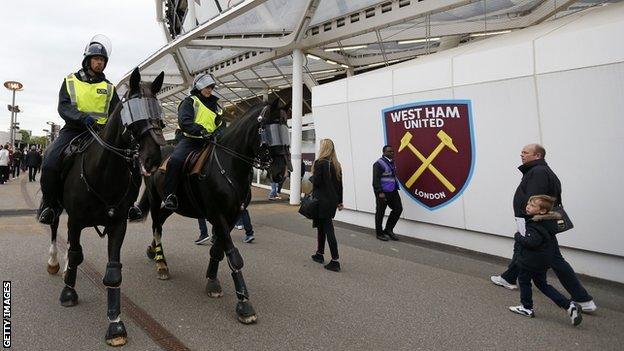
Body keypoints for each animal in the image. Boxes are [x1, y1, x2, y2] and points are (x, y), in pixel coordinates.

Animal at [45, 68, 166, 346]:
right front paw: (68, 292)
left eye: (157, 110)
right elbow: (76, 254)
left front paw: (116, 324)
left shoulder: (117, 224)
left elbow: (113, 272)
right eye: (134, 110)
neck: (103, 172)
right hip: (57, 208)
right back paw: (55, 262)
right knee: (55, 230)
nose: (155, 158)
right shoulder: (76, 220)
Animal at [138, 97, 292, 326]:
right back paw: (161, 264)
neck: (229, 166)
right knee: (157, 226)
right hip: (156, 200)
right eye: (268, 129)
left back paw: (153, 251)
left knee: (161, 224)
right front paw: (244, 304)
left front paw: (212, 281)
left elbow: (218, 250)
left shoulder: (231, 217)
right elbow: (233, 255)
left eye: (285, 128)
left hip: (174, 205)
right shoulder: (217, 215)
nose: (281, 172)